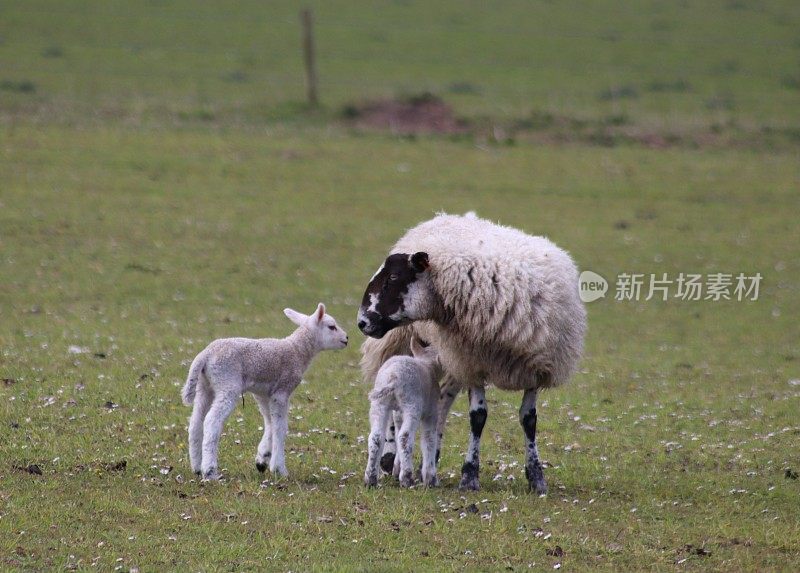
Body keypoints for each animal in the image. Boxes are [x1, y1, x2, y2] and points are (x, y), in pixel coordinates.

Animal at [180, 304, 346, 478]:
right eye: (332, 327)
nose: (346, 339)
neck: (297, 351)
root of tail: (205, 355)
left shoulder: (263, 394)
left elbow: (270, 422)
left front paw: (262, 459)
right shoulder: (282, 391)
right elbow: (280, 427)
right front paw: (279, 469)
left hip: (204, 387)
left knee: (195, 423)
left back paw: (197, 468)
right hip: (227, 382)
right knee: (212, 421)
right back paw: (209, 471)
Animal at [364, 336, 444, 488]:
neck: (427, 364)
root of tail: (392, 377)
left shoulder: (398, 414)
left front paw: (396, 469)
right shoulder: (431, 413)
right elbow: (429, 440)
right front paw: (430, 478)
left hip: (379, 404)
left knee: (376, 437)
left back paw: (370, 479)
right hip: (412, 405)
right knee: (404, 437)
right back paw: (407, 478)